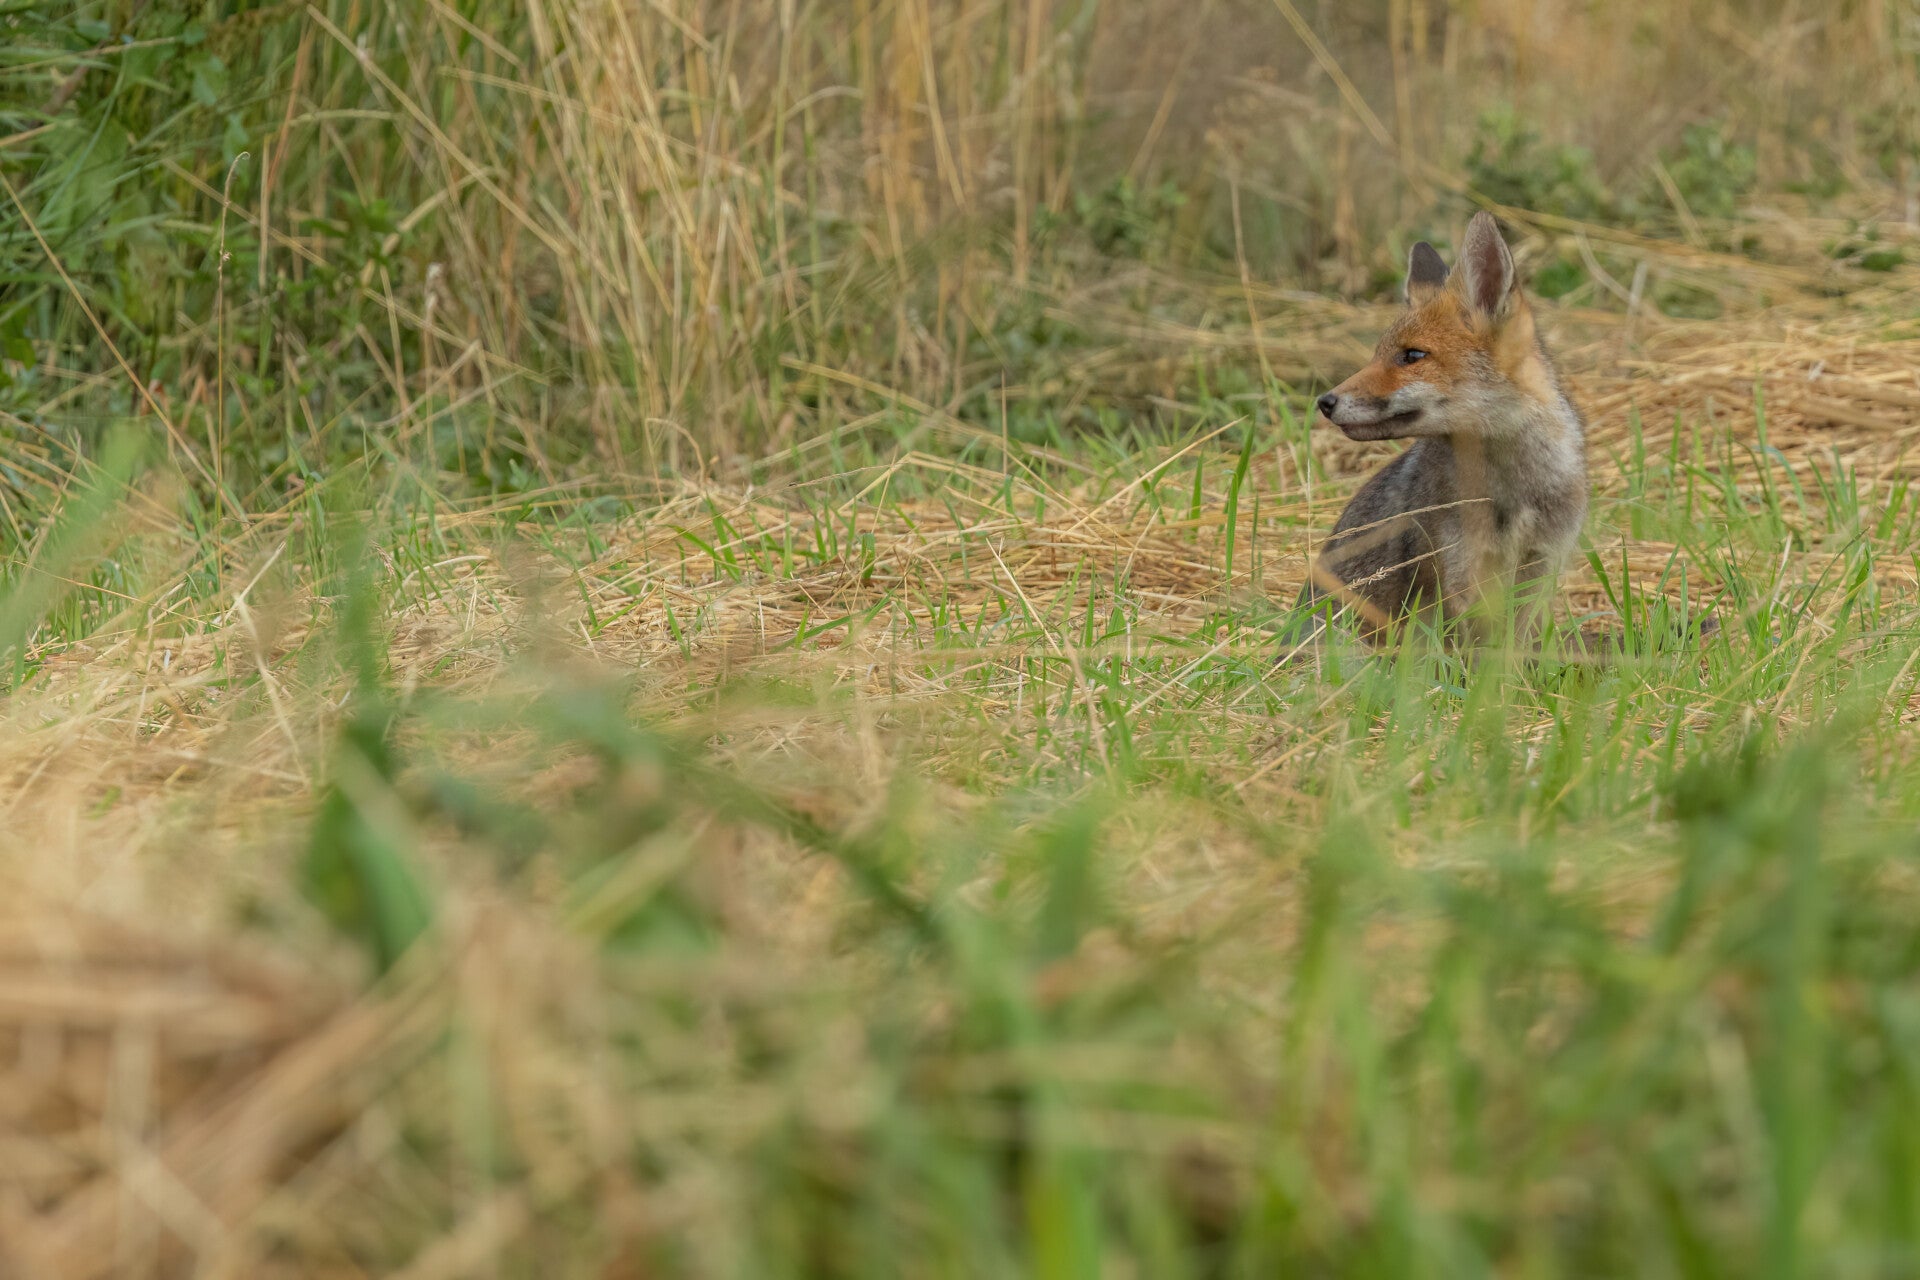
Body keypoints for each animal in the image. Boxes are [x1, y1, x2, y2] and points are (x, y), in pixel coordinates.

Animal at [1289, 212, 1588, 652]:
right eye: (1377, 354)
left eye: (1412, 355)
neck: (1511, 492)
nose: (1325, 402)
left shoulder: (1540, 569)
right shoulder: (1456, 575)